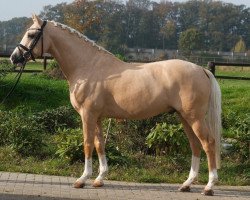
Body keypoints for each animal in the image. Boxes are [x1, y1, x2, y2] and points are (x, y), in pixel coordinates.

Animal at [10, 15, 221, 195]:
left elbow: (87, 144)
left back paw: (209, 187)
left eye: (32, 34)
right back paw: (186, 184)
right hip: (184, 117)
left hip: (194, 118)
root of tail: (201, 69)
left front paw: (82, 179)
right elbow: (99, 144)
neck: (88, 65)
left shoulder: (87, 115)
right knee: (195, 145)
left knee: (208, 143)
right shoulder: (97, 117)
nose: (14, 57)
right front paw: (99, 179)